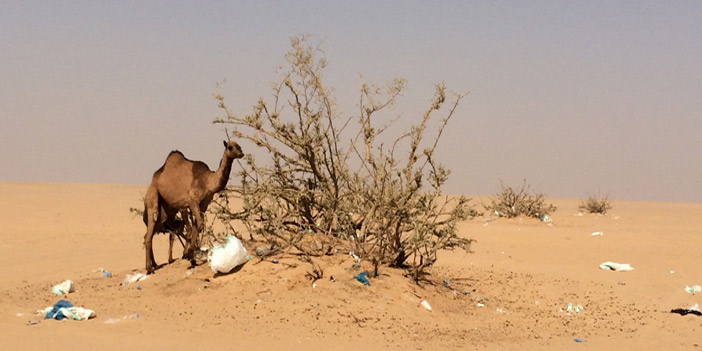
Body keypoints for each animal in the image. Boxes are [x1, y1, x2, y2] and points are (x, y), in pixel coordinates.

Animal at [144, 141, 245, 276]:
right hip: (152, 198)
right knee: (149, 233)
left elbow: (197, 227)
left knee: (154, 231)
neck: (208, 181)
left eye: (240, 146)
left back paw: (154, 265)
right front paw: (189, 254)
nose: (241, 153)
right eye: (230, 147)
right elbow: (199, 226)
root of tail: (156, 177)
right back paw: (149, 269)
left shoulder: (204, 204)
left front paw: (191, 257)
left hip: (166, 210)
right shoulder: (193, 201)